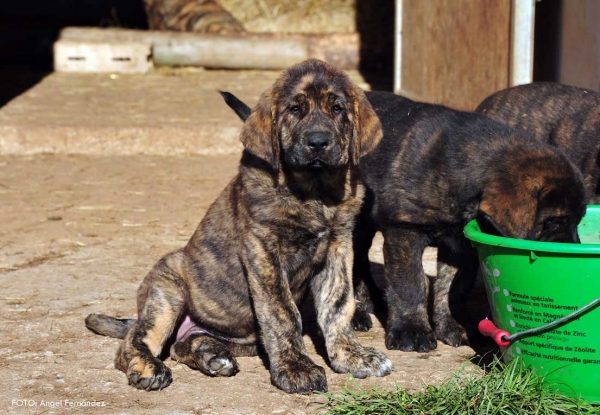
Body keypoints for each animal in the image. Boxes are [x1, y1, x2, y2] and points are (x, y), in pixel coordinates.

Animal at [85, 58, 394, 394]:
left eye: (337, 108)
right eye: (294, 109)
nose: (318, 142)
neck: (314, 191)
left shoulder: (338, 247)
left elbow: (337, 306)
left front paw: (351, 356)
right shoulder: (264, 249)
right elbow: (282, 312)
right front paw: (296, 367)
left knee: (180, 346)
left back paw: (211, 355)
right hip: (167, 293)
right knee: (134, 342)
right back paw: (148, 367)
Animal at [219, 89, 584, 352]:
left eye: (579, 220)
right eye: (554, 223)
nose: (573, 254)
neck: (466, 172)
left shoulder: (461, 246)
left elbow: (451, 288)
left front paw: (451, 325)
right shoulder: (404, 231)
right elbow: (411, 284)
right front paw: (412, 331)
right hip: (358, 222)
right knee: (356, 263)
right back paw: (360, 310)